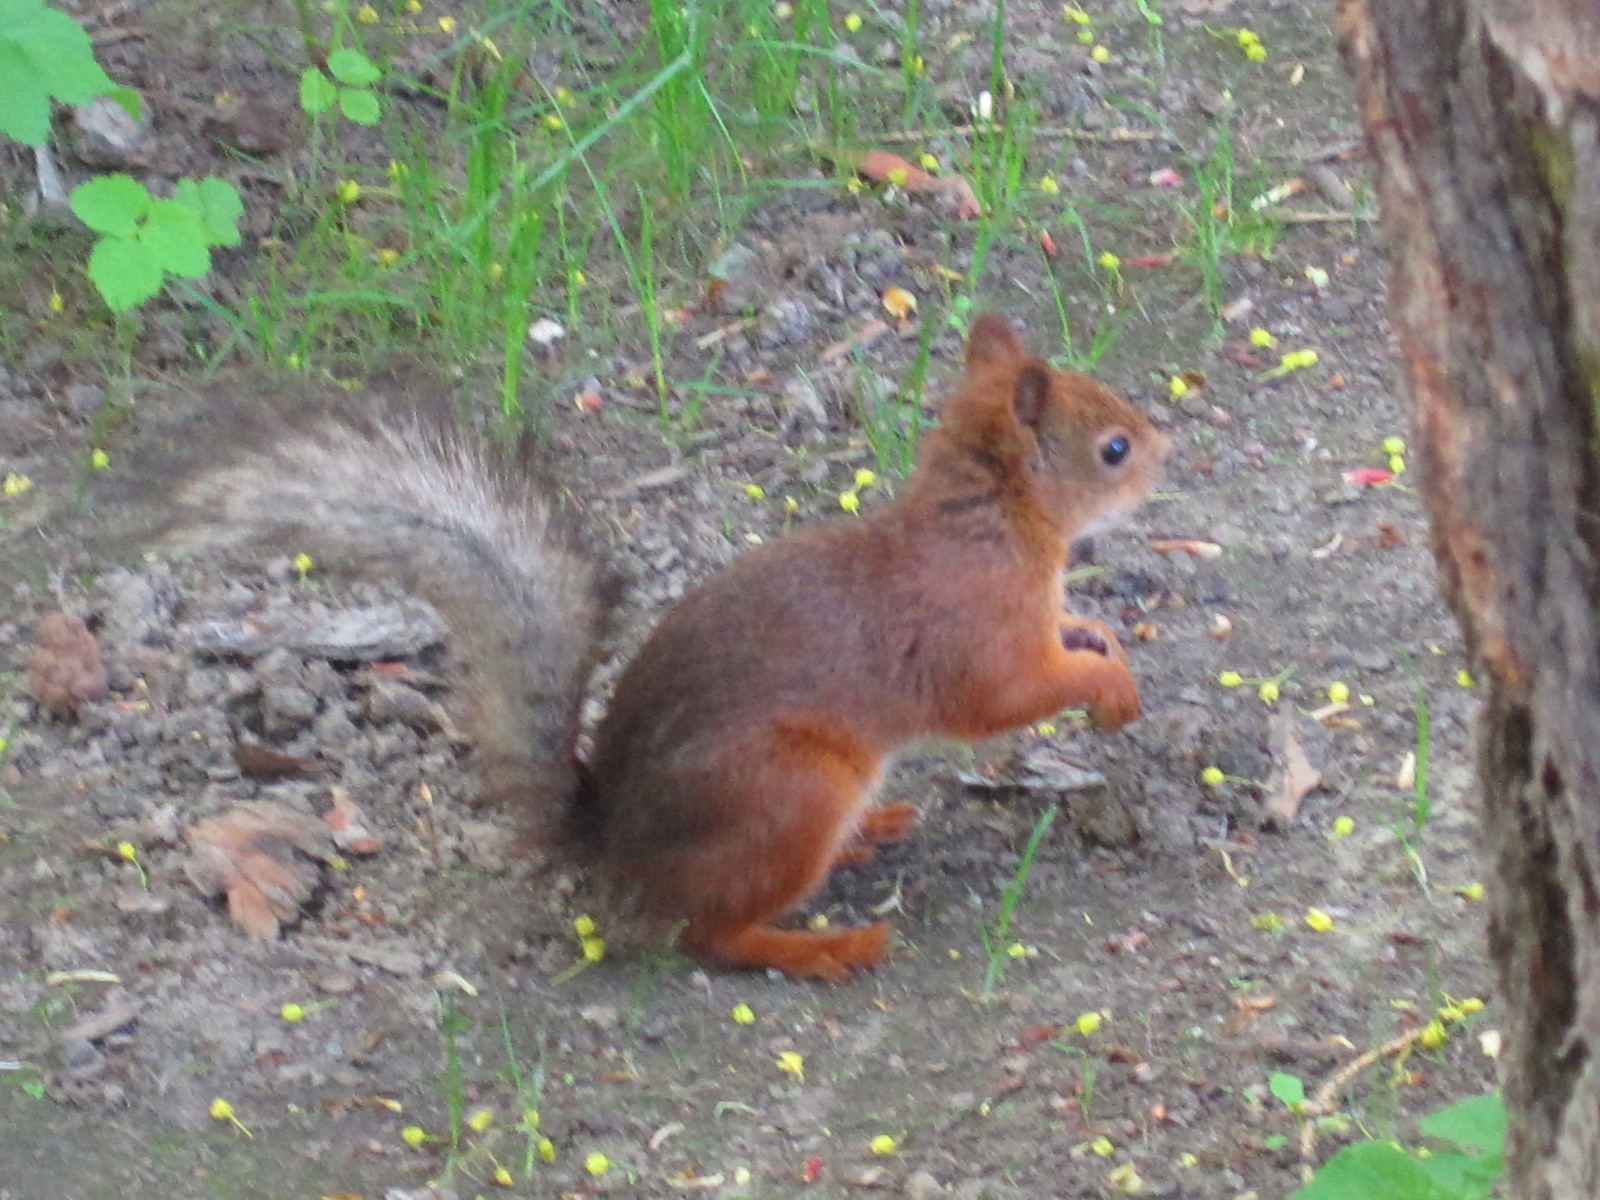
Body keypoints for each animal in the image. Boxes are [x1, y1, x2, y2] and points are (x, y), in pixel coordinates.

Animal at [150, 315, 1171, 979]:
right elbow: (1015, 695)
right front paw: (1110, 689)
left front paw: (1099, 637)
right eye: (1113, 448)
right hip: (785, 790)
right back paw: (827, 948)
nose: (1168, 450)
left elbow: (1072, 636)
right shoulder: (975, 640)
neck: (990, 527)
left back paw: (867, 837)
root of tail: (613, 844)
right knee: (711, 935)